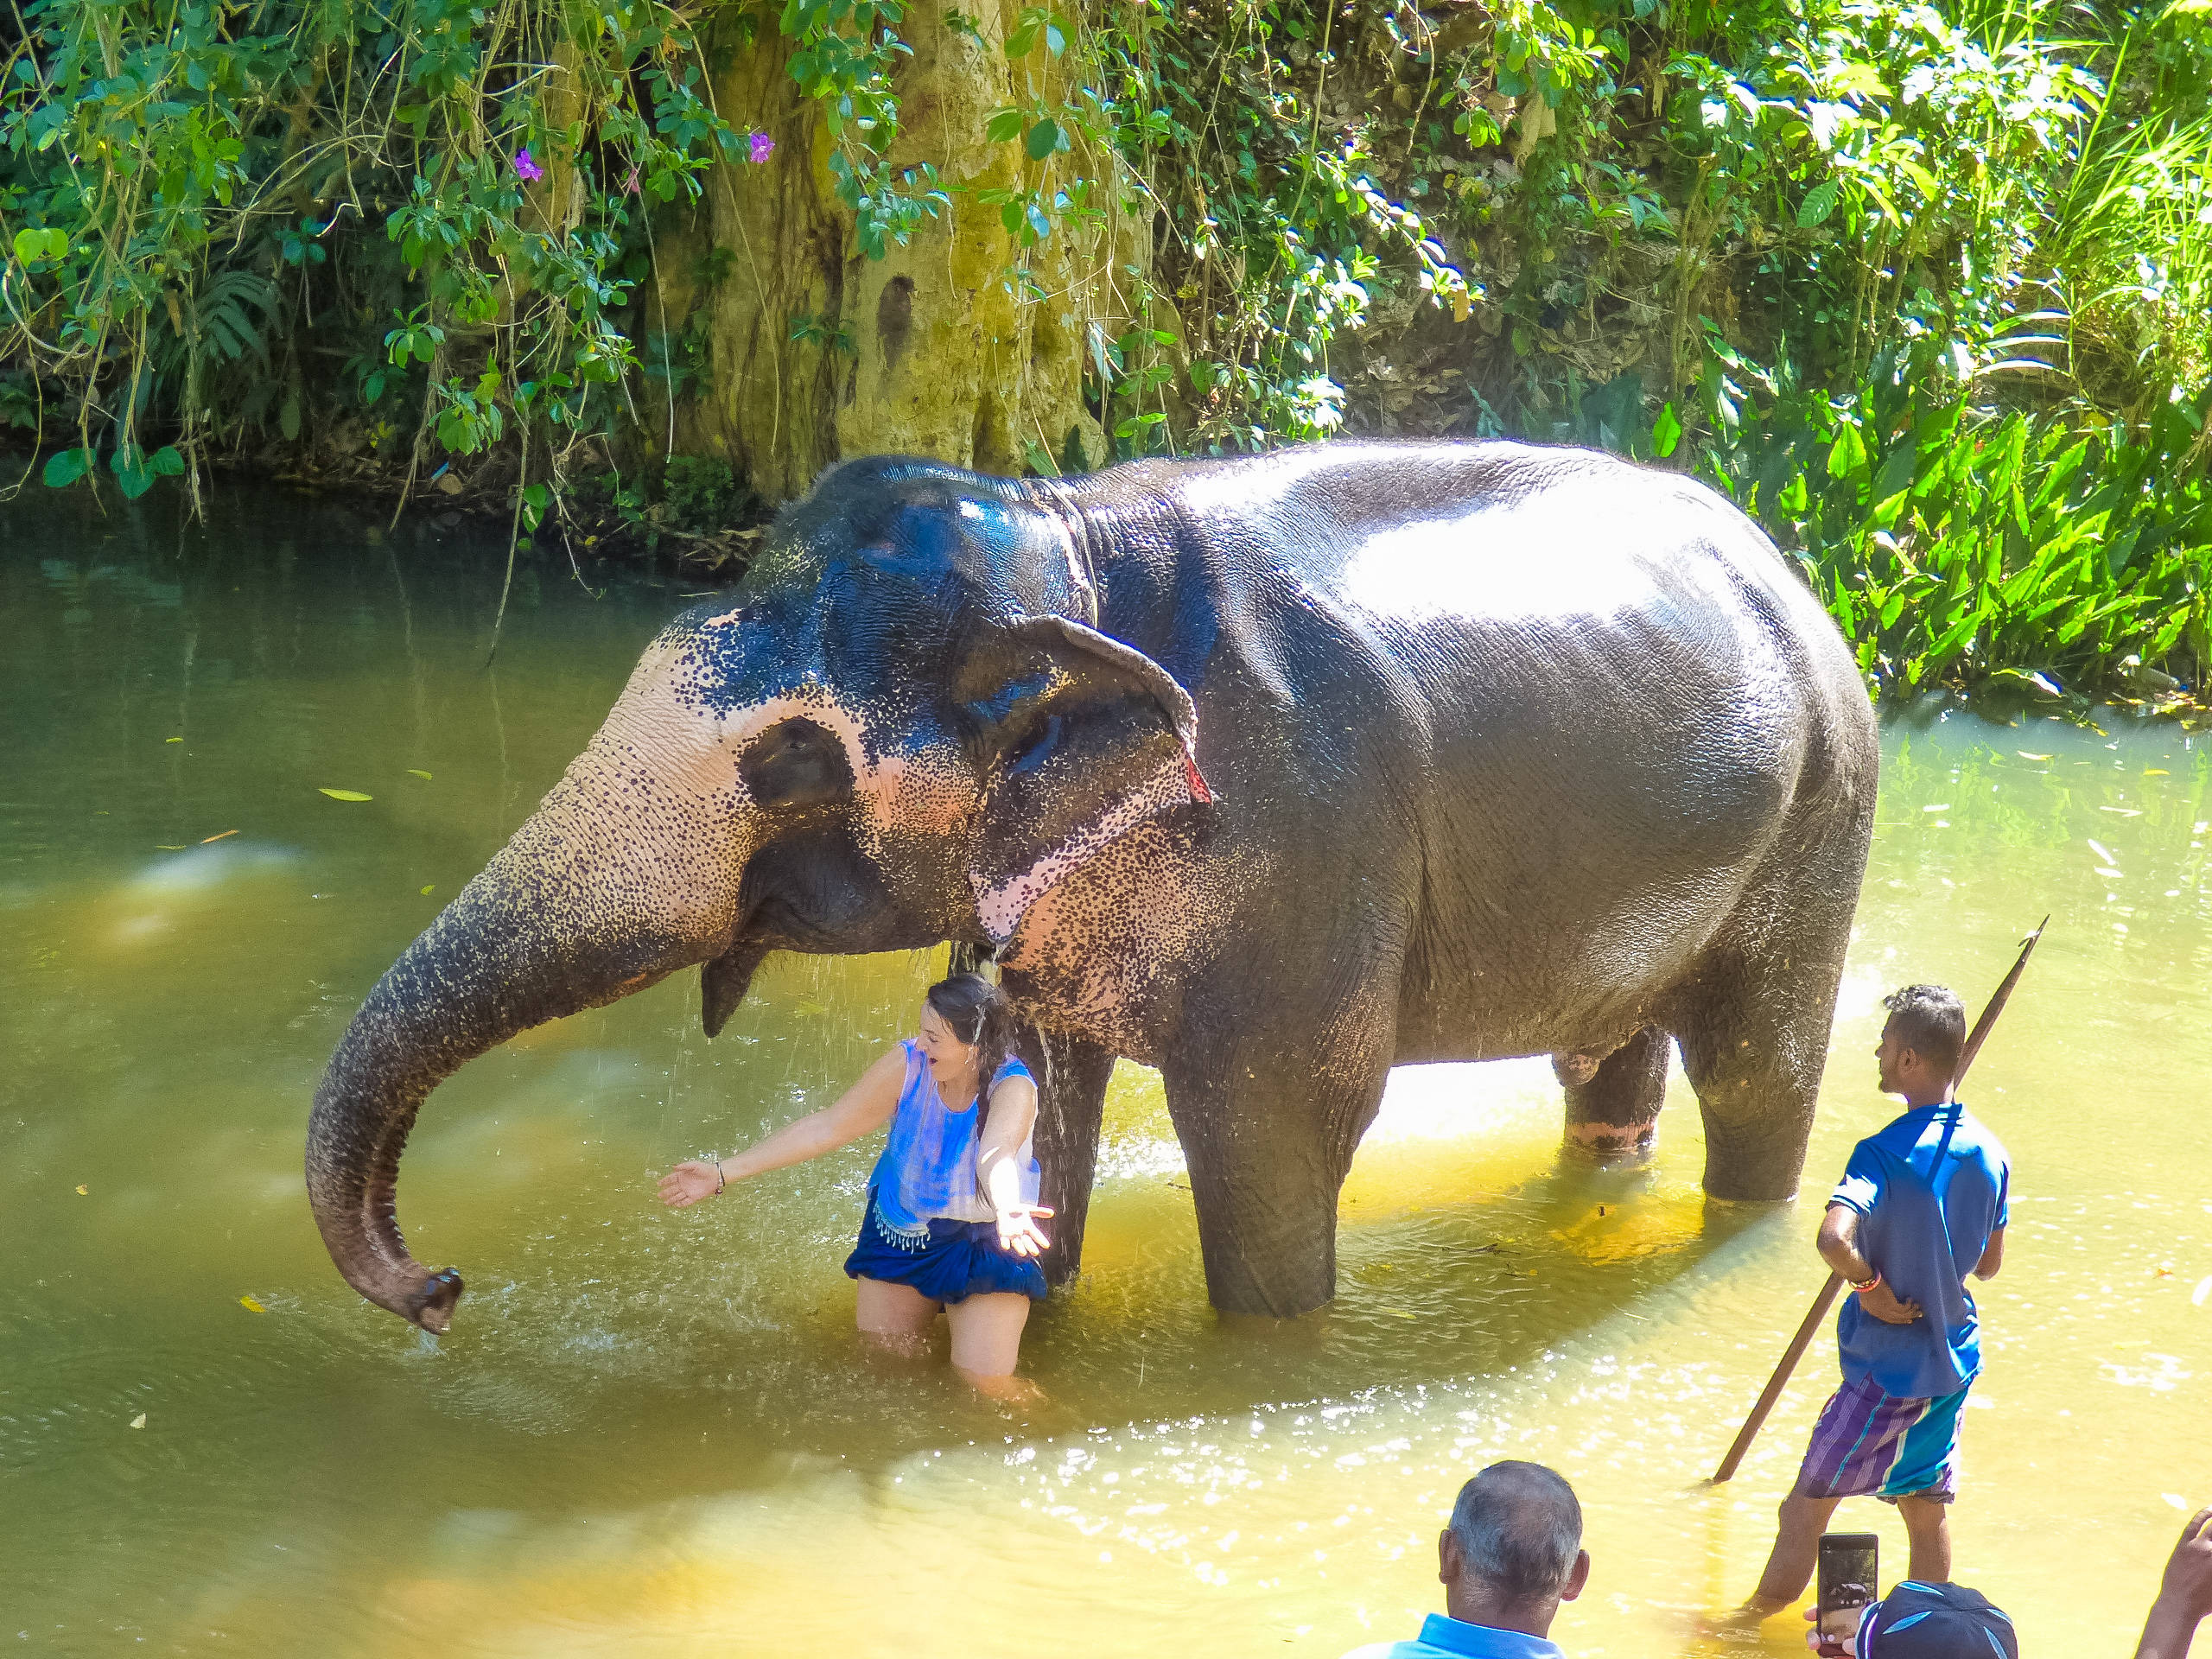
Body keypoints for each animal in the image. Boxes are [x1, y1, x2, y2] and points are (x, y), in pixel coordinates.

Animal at [302, 442, 1875, 1336]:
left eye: (792, 759)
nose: (441, 1291)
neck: (1070, 548)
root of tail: (1790, 563)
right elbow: (1047, 1096)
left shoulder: (1303, 848)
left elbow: (1278, 1131)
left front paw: (1267, 1354)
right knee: (1606, 1063)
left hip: (1822, 822)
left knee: (1757, 1070)